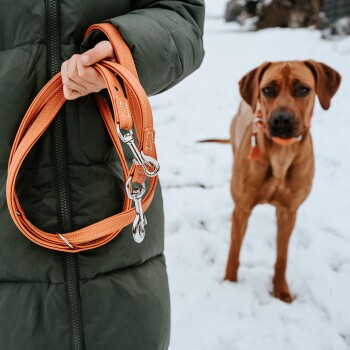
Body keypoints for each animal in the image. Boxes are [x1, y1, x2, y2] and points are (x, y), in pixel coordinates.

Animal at [206, 60, 340, 300]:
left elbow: (282, 256)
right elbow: (234, 252)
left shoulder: (289, 211)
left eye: (303, 89)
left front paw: (281, 290)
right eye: (267, 89)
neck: (281, 155)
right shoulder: (243, 208)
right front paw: (230, 284)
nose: (281, 120)